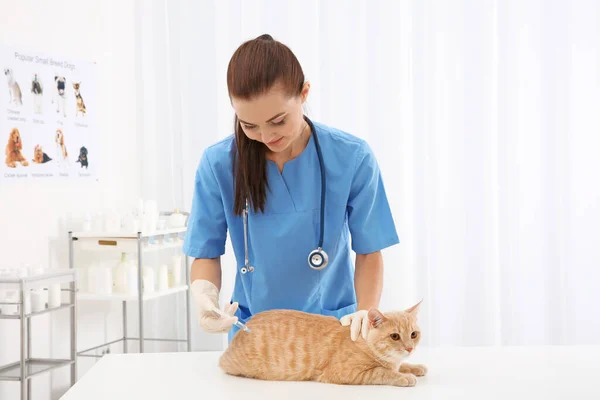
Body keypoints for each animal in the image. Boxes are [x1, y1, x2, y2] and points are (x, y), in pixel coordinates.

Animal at [218, 302, 424, 386]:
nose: (409, 348)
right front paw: (404, 377)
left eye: (413, 334)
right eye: (395, 336)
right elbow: (382, 372)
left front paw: (414, 367)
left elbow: (401, 365)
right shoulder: (347, 373)